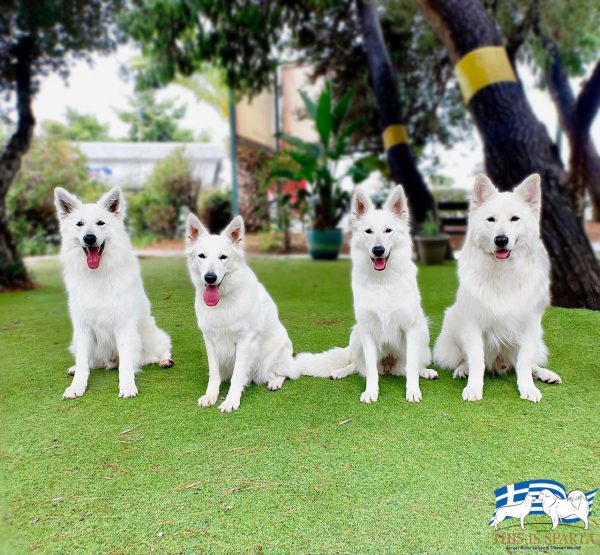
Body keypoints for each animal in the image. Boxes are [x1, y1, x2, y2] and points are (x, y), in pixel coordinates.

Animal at [54, 187, 173, 400]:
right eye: (79, 224)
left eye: (100, 223)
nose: (89, 238)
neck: (97, 275)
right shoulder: (83, 328)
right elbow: (83, 363)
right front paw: (76, 386)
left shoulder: (123, 325)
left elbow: (126, 364)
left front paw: (127, 386)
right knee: (90, 362)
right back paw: (75, 368)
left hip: (150, 334)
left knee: (160, 350)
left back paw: (164, 361)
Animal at [308, 187, 438, 404]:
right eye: (368, 231)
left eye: (388, 230)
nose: (378, 250)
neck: (382, 281)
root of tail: (389, 366)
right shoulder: (367, 330)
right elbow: (370, 370)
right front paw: (371, 392)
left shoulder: (411, 328)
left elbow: (411, 367)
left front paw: (412, 390)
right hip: (356, 334)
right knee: (356, 364)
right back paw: (340, 371)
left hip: (423, 333)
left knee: (411, 366)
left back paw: (426, 371)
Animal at [434, 175, 560, 404]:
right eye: (491, 220)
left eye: (515, 219)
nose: (501, 240)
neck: (503, 272)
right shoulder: (474, 324)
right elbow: (477, 360)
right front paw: (473, 388)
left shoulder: (529, 324)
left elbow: (524, 363)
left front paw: (528, 388)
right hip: (453, 327)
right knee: (467, 359)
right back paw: (462, 370)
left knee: (530, 363)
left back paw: (545, 374)